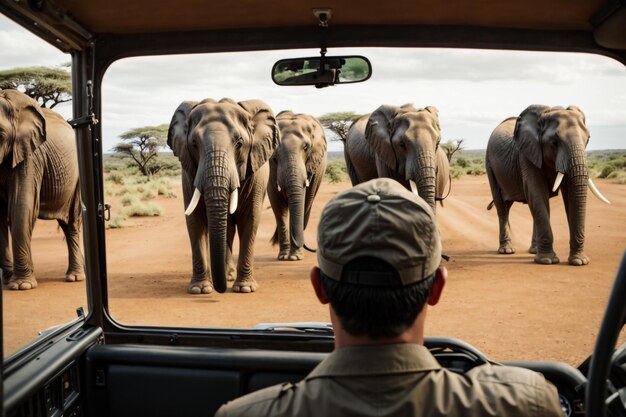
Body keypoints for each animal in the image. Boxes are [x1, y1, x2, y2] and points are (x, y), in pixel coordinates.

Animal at [0, 88, 84, 290]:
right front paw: (8, 281)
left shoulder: (30, 155)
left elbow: (21, 205)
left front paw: (21, 285)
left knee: (71, 224)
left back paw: (75, 277)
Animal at [168, 97, 280, 292]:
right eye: (194, 144)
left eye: (239, 144)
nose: (220, 290)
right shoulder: (188, 174)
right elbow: (195, 221)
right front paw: (200, 289)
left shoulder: (257, 175)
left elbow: (250, 219)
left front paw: (244, 289)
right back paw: (227, 276)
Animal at [266, 110, 326, 260]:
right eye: (275, 154)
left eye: (306, 148)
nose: (315, 249)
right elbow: (278, 206)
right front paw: (283, 257)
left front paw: (295, 257)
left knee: (307, 203)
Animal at [482, 105, 608, 264]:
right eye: (554, 142)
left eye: (588, 139)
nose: (580, 260)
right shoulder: (526, 154)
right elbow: (536, 191)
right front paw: (547, 260)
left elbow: (567, 194)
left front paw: (579, 261)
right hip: (489, 164)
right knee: (502, 206)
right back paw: (507, 251)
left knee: (511, 205)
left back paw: (533, 251)